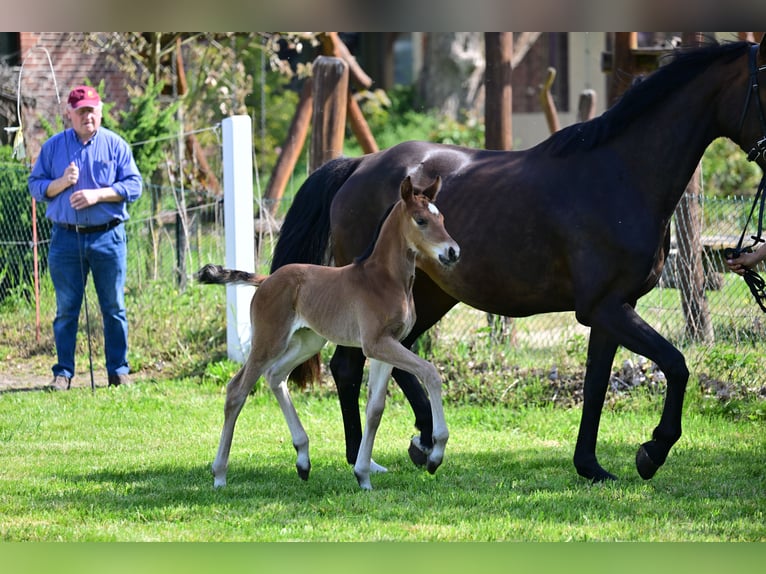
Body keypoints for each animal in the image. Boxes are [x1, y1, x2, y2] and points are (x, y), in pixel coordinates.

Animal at [201, 177, 460, 490]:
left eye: (442, 218)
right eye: (421, 220)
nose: (453, 252)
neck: (384, 280)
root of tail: (266, 279)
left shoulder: (387, 346)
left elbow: (375, 409)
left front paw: (363, 476)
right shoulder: (376, 344)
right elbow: (431, 373)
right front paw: (435, 455)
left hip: (308, 341)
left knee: (275, 376)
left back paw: (303, 460)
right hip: (269, 341)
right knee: (236, 390)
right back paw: (219, 475)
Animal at [270, 38, 766, 484]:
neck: (620, 177)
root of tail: (357, 165)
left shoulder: (614, 310)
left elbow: (596, 386)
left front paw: (591, 466)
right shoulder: (605, 308)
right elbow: (676, 365)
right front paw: (652, 451)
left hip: (428, 296)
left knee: (393, 356)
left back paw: (416, 441)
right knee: (350, 365)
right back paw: (370, 455)